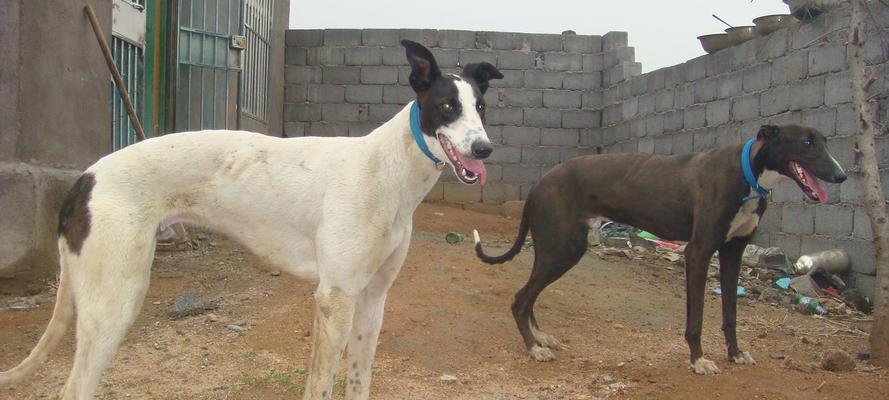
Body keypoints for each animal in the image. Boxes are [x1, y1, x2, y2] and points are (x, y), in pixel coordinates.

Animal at [0, 40, 500, 400]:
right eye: (448, 106)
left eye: (481, 107)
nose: (484, 150)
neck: (388, 169)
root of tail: (86, 177)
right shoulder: (335, 297)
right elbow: (320, 384)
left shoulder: (372, 299)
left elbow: (357, 380)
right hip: (115, 301)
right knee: (74, 388)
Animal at [476, 125, 844, 376]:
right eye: (808, 142)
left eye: (826, 141)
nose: (842, 174)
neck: (747, 173)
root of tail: (538, 183)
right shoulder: (698, 252)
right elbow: (696, 318)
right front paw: (698, 360)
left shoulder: (732, 253)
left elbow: (730, 314)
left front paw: (735, 353)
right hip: (560, 249)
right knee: (520, 299)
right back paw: (533, 348)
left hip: (563, 250)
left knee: (529, 296)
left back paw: (540, 337)